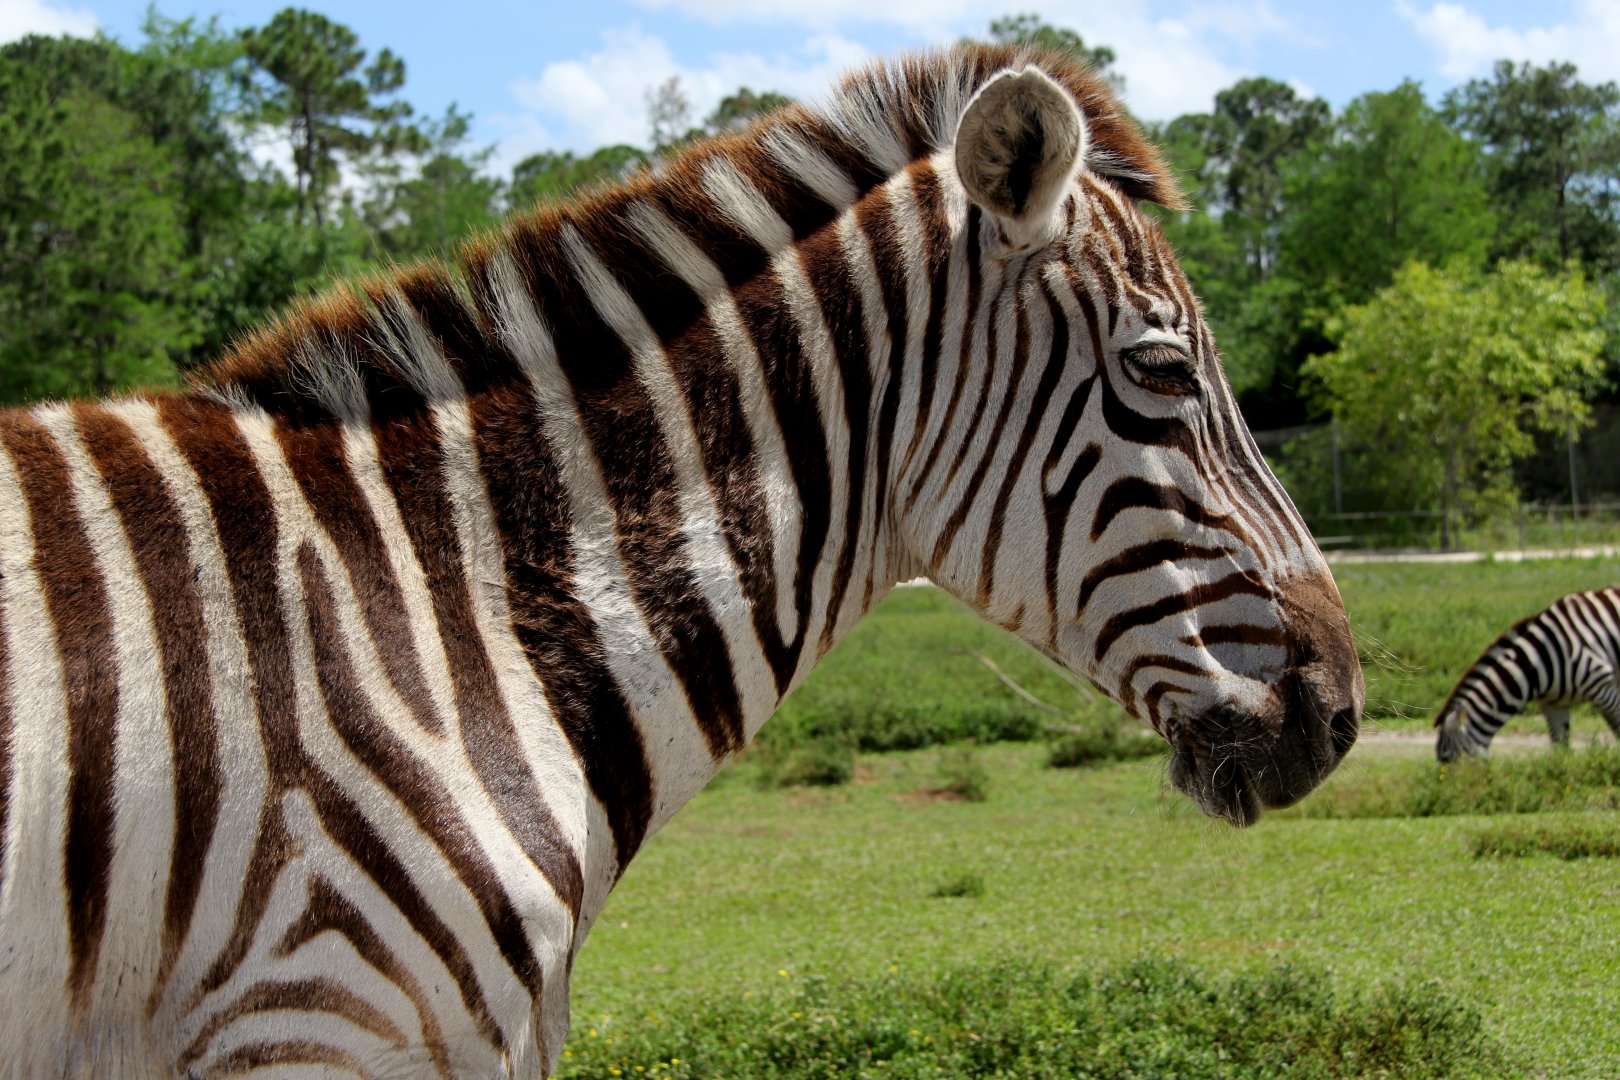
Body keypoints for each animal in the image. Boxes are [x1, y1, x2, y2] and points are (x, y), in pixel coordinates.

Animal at [1436, 587, 1620, 761]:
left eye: (1447, 758)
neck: (1537, 660)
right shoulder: (1554, 703)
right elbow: (1560, 748)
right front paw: (1560, 770)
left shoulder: (1604, 687)